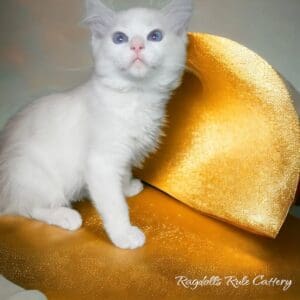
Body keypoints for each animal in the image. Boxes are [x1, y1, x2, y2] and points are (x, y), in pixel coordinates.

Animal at [0, 0, 192, 248]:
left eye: (155, 36)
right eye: (119, 38)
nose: (137, 46)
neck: (136, 95)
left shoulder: (123, 153)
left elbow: (124, 172)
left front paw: (127, 187)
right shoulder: (101, 162)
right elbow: (115, 205)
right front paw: (124, 235)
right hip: (32, 173)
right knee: (26, 207)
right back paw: (65, 216)